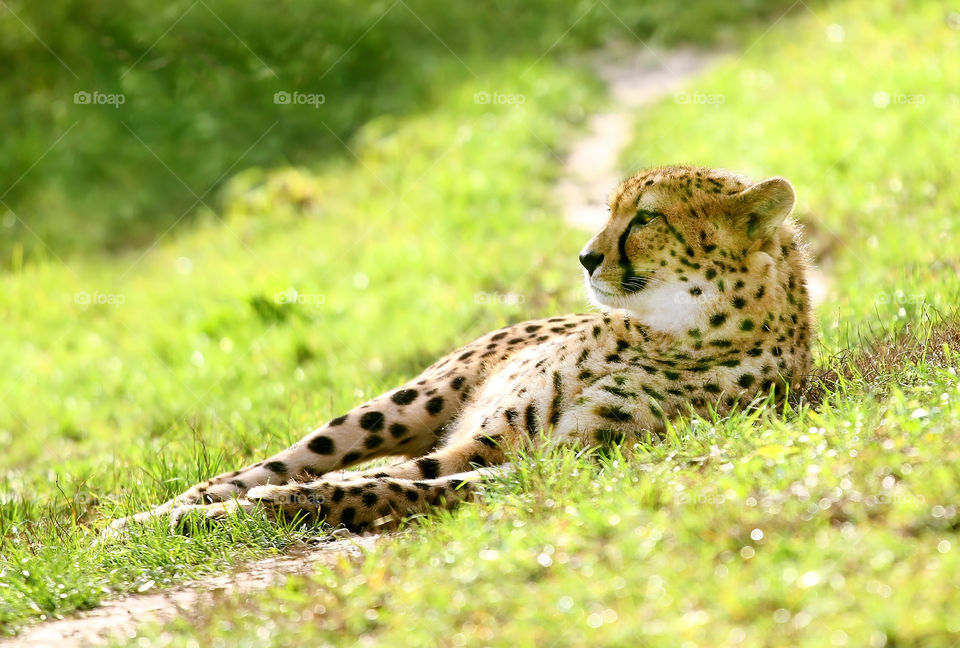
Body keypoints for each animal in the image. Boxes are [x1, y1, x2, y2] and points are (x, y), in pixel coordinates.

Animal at [109, 165, 812, 536]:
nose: (586, 257)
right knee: (267, 466)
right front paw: (233, 510)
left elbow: (393, 489)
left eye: (646, 217)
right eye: (612, 210)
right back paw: (147, 517)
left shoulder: (566, 462)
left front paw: (290, 508)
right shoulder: (487, 440)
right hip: (402, 404)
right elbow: (374, 478)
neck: (671, 331)